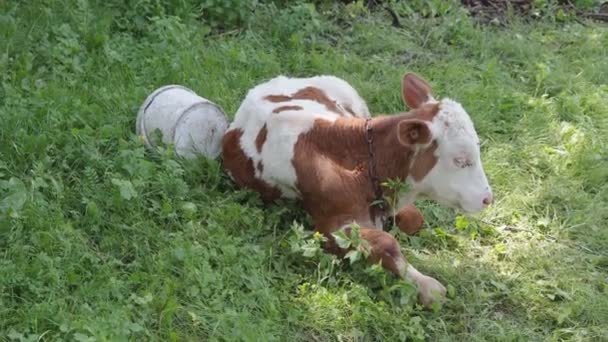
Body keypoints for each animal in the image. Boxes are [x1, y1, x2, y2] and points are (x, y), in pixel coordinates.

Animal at [221, 72, 492, 308]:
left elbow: (415, 219)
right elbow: (386, 243)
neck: (360, 159)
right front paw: (425, 285)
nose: (488, 198)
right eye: (460, 160)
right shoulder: (331, 226)